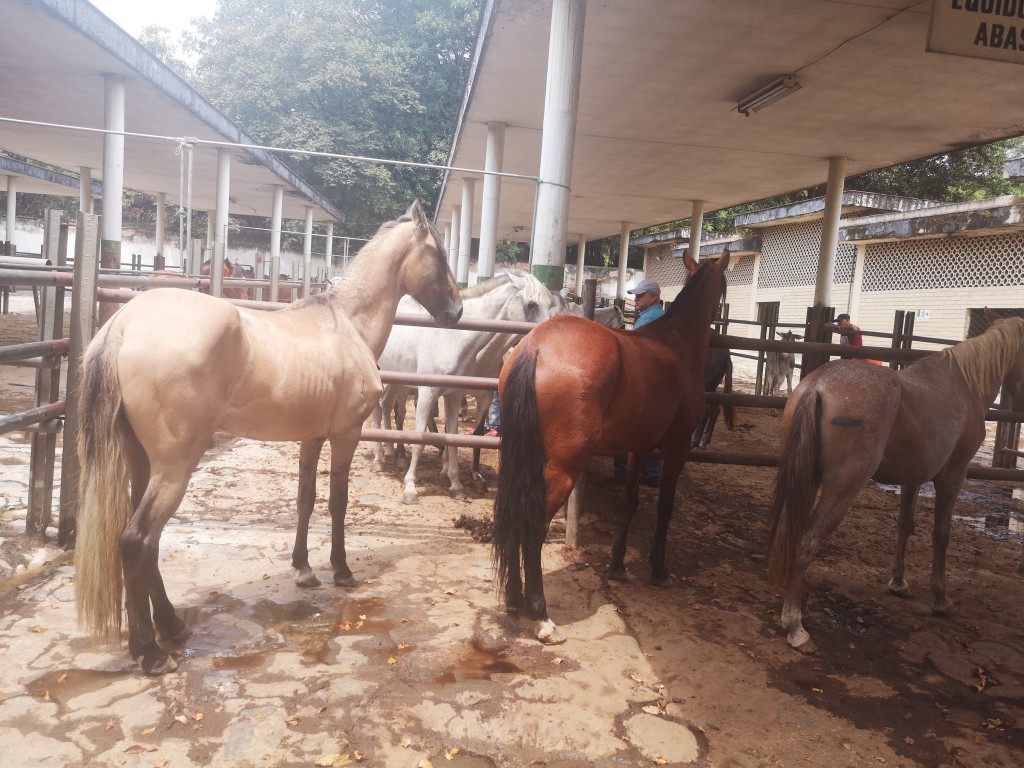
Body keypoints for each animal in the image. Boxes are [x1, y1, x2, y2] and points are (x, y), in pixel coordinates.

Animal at [73, 201, 462, 675]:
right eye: (440, 255)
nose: (457, 311)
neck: (347, 324)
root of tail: (123, 325)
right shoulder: (346, 435)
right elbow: (337, 502)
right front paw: (341, 570)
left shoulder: (312, 437)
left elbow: (305, 499)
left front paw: (303, 570)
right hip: (175, 467)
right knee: (137, 541)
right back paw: (151, 652)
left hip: (141, 461)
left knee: (146, 543)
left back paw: (172, 627)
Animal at [373, 270, 565, 504]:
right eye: (532, 304)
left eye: (551, 304)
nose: (551, 339)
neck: (453, 338)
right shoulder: (427, 393)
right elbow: (419, 439)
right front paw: (410, 489)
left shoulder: (454, 395)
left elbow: (454, 437)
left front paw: (456, 485)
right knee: (378, 410)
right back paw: (379, 459)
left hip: (396, 380)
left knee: (386, 405)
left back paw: (392, 454)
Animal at [492, 249, 730, 644]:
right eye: (724, 287)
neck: (677, 344)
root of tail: (536, 347)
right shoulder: (676, 448)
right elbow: (664, 506)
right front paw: (659, 569)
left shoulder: (638, 449)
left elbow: (629, 503)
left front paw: (618, 565)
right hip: (564, 468)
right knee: (534, 525)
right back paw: (540, 615)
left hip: (521, 455)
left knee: (514, 514)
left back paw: (513, 597)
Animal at [766, 310, 1024, 654]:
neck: (963, 384)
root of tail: (817, 385)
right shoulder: (952, 477)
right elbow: (941, 534)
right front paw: (941, 597)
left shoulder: (912, 479)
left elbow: (905, 526)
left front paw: (898, 582)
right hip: (842, 488)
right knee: (808, 540)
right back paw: (795, 626)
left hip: (804, 478)